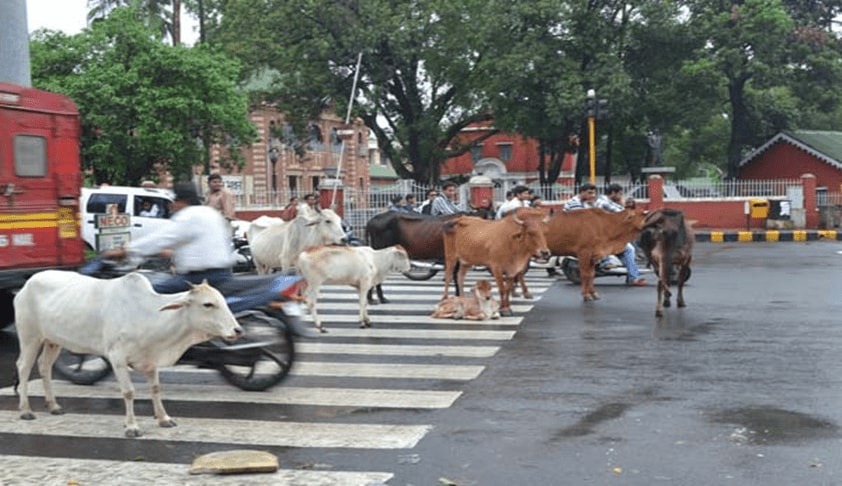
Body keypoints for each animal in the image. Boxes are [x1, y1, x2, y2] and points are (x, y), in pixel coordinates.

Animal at [13, 271, 241, 438]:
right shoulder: (118, 359)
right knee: (24, 367)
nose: (237, 330)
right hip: (30, 337)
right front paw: (132, 427)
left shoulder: (151, 360)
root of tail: (27, 284)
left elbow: (156, 389)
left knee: (44, 366)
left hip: (52, 342)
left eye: (222, 300)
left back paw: (53, 405)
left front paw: (164, 419)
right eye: (208, 304)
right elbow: (129, 392)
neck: (147, 314)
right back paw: (25, 410)